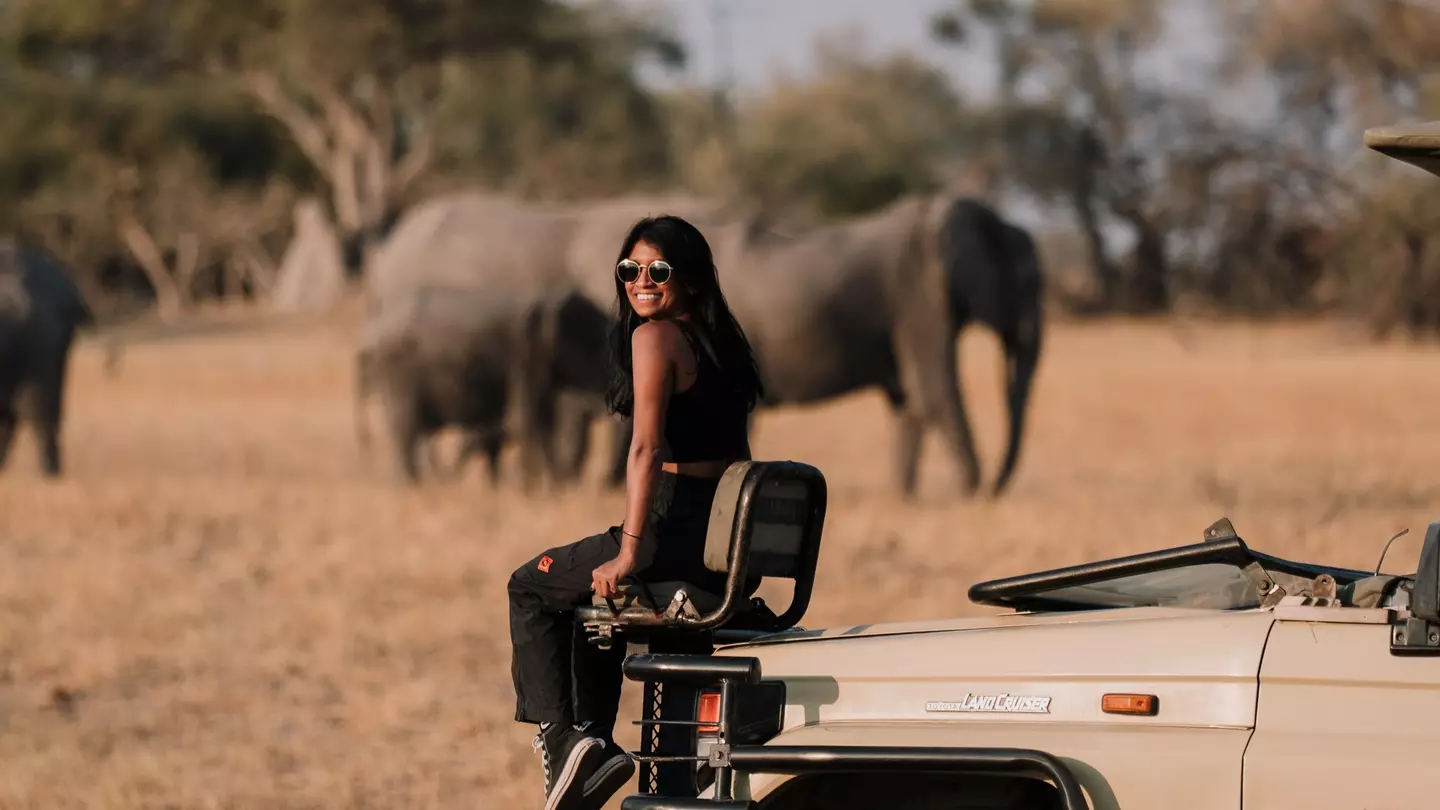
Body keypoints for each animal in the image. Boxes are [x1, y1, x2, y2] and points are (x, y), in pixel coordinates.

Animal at [354, 280, 613, 488]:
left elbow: (543, 421)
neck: (551, 298)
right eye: (596, 344)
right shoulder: (524, 356)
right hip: (396, 367)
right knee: (405, 429)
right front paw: (538, 493)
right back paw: (412, 488)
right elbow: (525, 421)